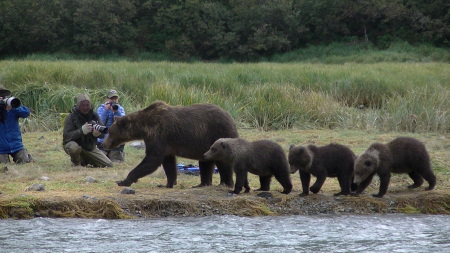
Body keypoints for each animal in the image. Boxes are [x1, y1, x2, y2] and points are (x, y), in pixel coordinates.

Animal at [103, 101, 239, 188]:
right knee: (205, 162)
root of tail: (231, 118)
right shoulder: (166, 144)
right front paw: (168, 183)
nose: (104, 144)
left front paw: (123, 181)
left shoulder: (158, 135)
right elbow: (168, 163)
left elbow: (152, 159)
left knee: (223, 161)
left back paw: (225, 183)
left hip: (219, 133)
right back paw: (201, 184)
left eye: (110, 131)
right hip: (206, 144)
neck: (144, 128)